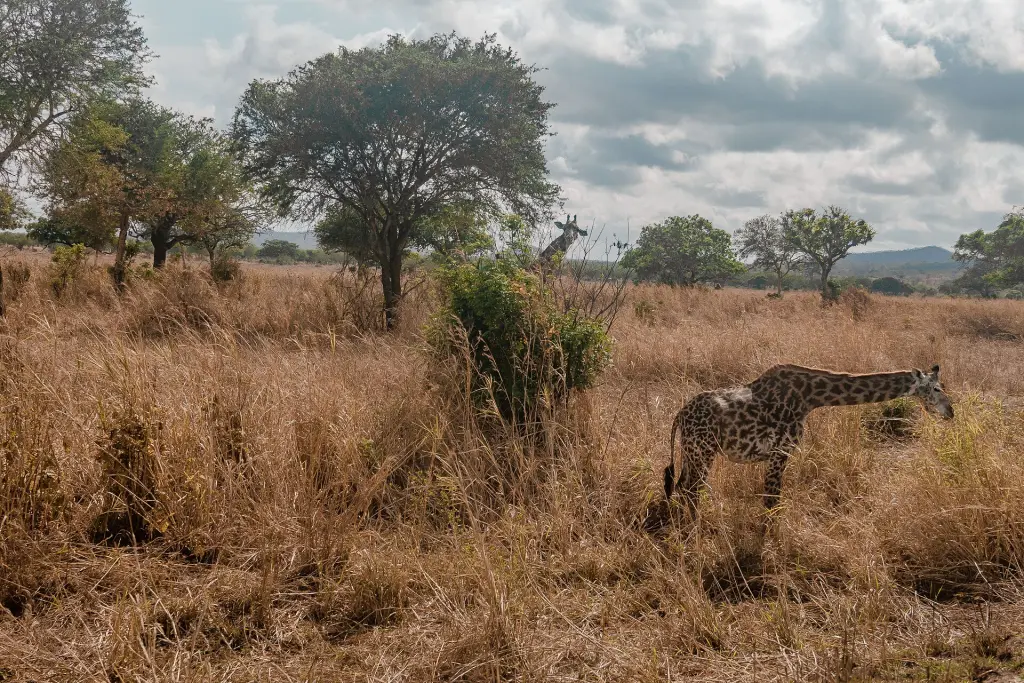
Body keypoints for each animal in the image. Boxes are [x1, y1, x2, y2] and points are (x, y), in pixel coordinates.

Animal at [664, 363, 954, 516]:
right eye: (937, 388)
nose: (950, 412)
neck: (809, 398)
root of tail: (680, 415)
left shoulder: (778, 454)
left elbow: (772, 500)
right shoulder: (780, 451)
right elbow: (772, 501)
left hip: (691, 452)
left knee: (682, 487)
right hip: (703, 452)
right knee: (691, 490)